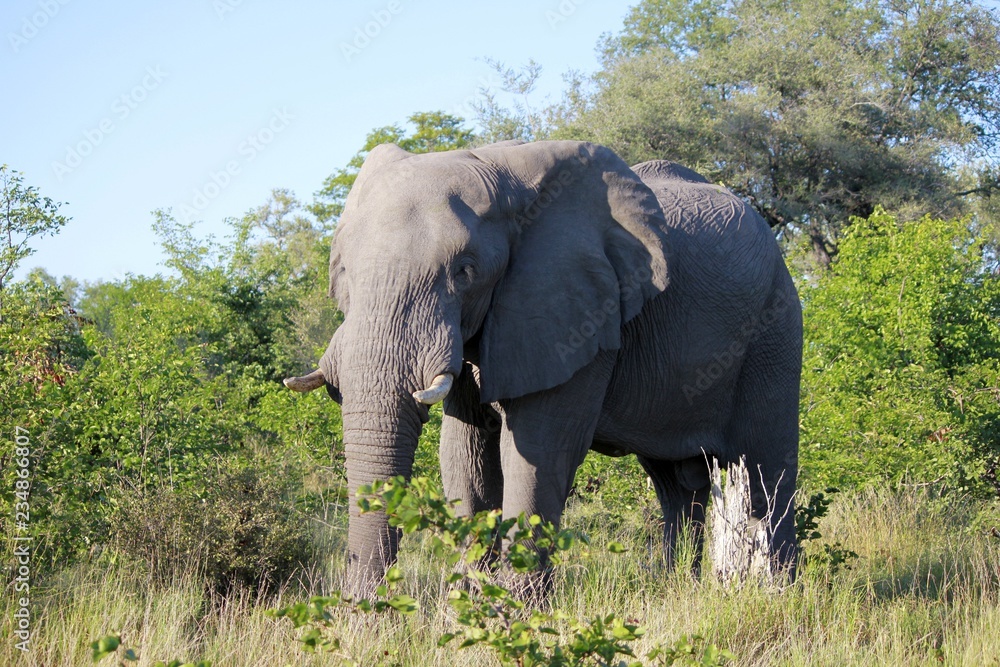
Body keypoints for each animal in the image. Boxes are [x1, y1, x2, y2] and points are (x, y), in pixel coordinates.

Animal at [284, 139, 802, 591]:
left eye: (465, 271)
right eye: (343, 271)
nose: (369, 611)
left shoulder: (581, 310)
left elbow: (539, 449)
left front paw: (516, 610)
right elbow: (466, 456)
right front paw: (467, 605)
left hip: (774, 327)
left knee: (767, 476)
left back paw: (780, 594)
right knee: (677, 485)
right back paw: (677, 589)